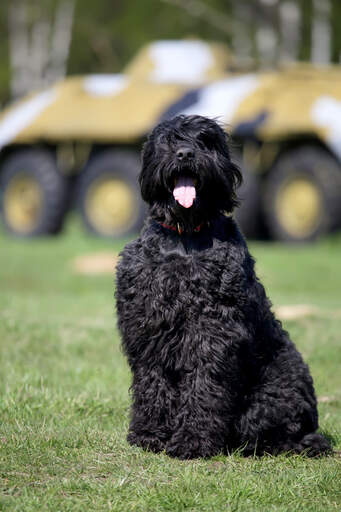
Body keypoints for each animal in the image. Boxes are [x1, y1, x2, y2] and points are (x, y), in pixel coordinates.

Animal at [115, 116, 330, 460]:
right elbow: (152, 381)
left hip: (271, 397)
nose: (185, 153)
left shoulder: (212, 331)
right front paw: (150, 434)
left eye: (206, 141)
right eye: (169, 140)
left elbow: (204, 385)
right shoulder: (147, 325)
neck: (185, 237)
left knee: (278, 435)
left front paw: (193, 440)